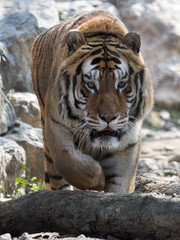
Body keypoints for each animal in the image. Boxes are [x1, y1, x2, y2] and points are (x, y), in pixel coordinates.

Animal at [31, 10, 153, 193]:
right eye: (90, 85)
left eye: (121, 84)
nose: (109, 117)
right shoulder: (56, 124)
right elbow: (68, 161)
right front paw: (98, 180)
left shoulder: (128, 142)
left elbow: (120, 185)